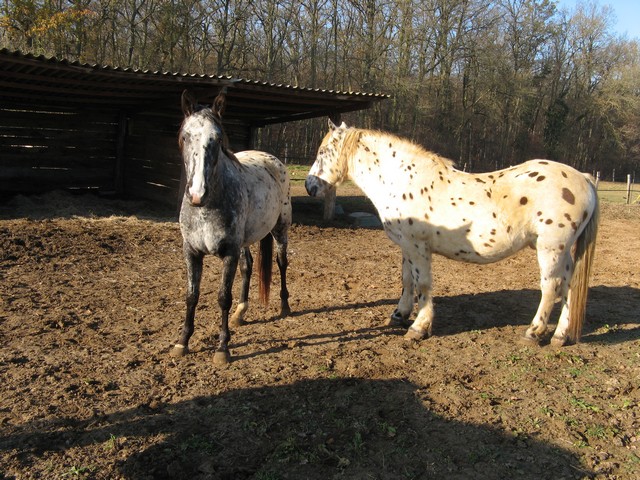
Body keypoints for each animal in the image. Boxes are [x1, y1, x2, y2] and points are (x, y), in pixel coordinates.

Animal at [171, 89, 292, 364]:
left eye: (217, 139)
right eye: (185, 136)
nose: (197, 194)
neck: (205, 210)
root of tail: (272, 159)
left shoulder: (228, 253)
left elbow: (223, 297)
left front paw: (222, 348)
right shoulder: (190, 252)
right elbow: (191, 296)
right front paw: (182, 342)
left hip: (281, 229)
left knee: (282, 263)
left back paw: (285, 306)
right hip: (245, 242)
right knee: (248, 267)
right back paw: (240, 312)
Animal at [305, 120, 599, 347]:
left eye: (322, 152)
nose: (310, 186)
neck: (402, 180)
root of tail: (583, 178)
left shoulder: (418, 246)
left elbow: (423, 284)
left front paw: (419, 327)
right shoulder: (406, 246)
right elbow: (407, 280)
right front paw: (399, 315)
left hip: (550, 248)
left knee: (551, 287)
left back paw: (533, 333)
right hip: (563, 252)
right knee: (570, 286)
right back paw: (560, 335)